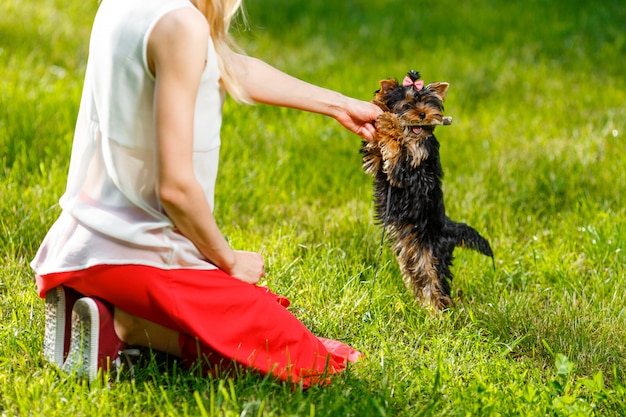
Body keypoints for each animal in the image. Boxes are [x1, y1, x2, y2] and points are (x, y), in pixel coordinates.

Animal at [360, 70, 492, 308]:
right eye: (406, 105)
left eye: (427, 104)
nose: (422, 114)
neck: (414, 136)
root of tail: (448, 228)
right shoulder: (375, 164)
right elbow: (374, 152)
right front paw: (380, 109)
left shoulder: (409, 171)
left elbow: (397, 153)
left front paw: (390, 124)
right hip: (412, 254)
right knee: (418, 278)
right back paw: (423, 306)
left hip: (432, 254)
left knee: (435, 282)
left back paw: (437, 311)